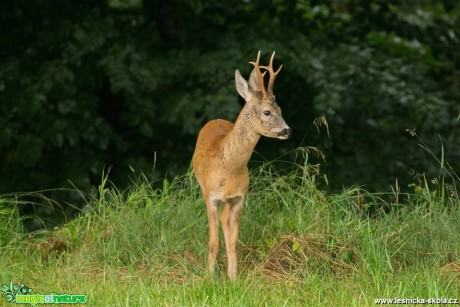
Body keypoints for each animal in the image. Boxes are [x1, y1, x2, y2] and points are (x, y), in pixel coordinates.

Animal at [193, 51, 292, 282]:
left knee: (225, 222)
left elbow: (233, 241)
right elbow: (213, 242)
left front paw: (233, 277)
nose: (287, 130)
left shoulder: (239, 198)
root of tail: (216, 119)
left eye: (280, 109)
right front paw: (210, 277)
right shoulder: (210, 197)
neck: (227, 168)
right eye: (267, 112)